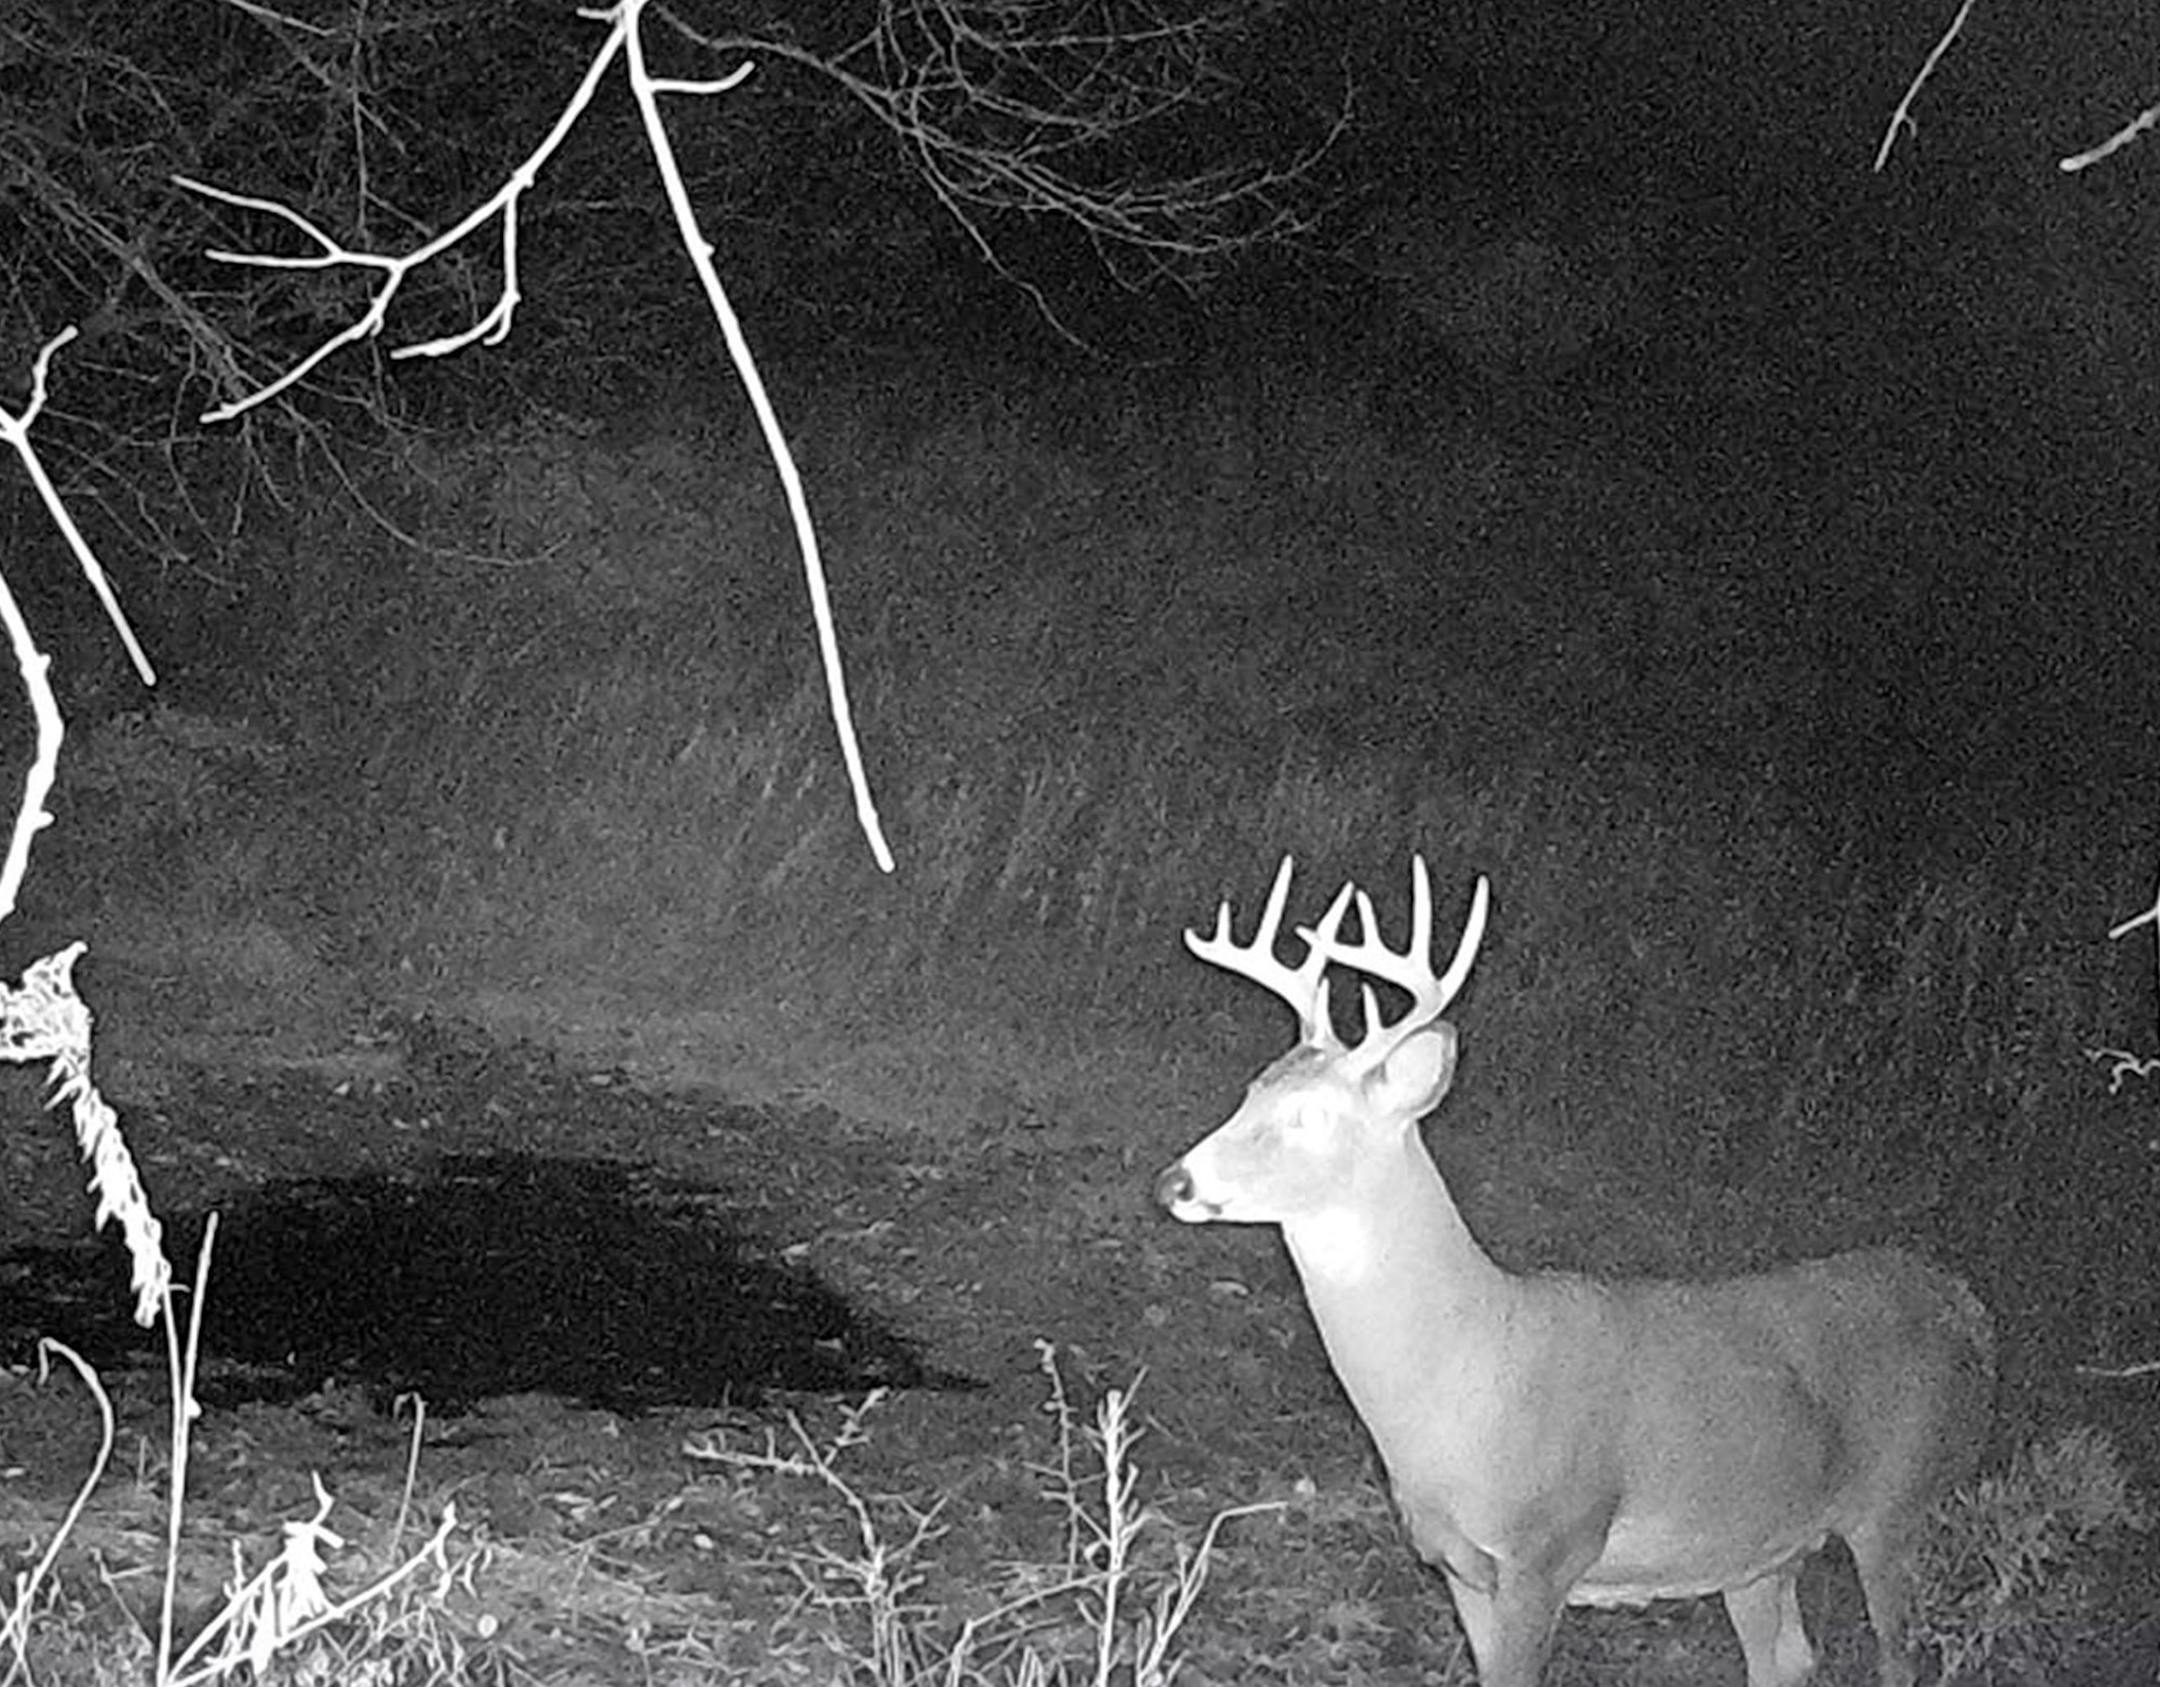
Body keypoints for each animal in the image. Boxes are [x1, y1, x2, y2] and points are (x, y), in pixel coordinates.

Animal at [1154, 855, 1994, 1687]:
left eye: (1310, 1117)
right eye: (1250, 1090)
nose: (1175, 1181)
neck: (1460, 1385)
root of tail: (1962, 1301)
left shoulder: (1547, 1548)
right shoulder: (1458, 1565)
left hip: (1892, 1500)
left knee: (1899, 1655)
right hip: (1758, 1549)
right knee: (1788, 1658)